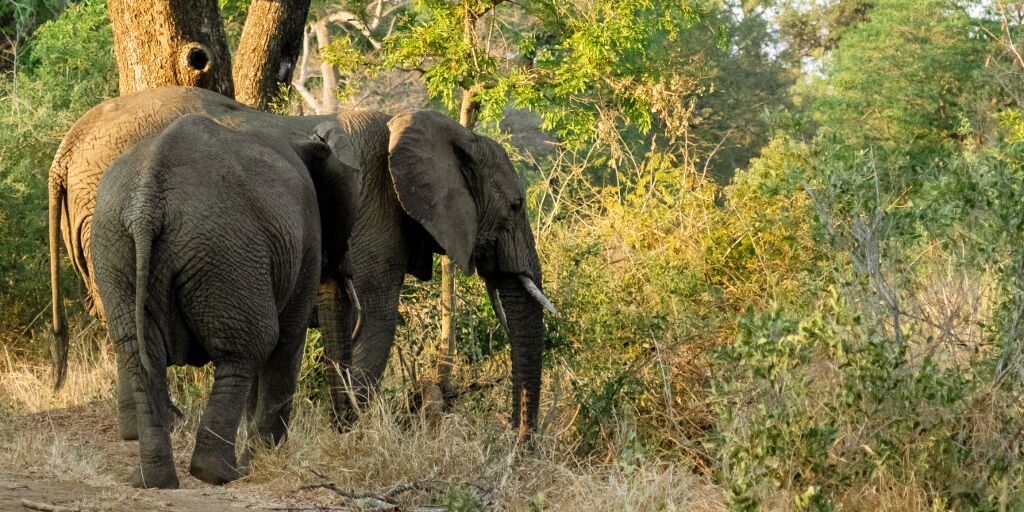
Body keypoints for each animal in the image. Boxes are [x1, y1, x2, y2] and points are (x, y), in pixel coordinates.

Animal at [49, 86, 554, 439]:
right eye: (515, 206)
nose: (518, 443)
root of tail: (67, 148)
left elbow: (342, 314)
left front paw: (339, 424)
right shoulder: (377, 216)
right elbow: (378, 316)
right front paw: (356, 433)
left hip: (99, 219)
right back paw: (166, 424)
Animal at [91, 113, 361, 488]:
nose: (347, 428)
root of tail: (147, 204)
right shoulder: (307, 235)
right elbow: (289, 339)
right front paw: (263, 459)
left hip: (116, 245)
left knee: (140, 353)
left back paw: (152, 480)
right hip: (224, 250)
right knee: (247, 349)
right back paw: (219, 474)